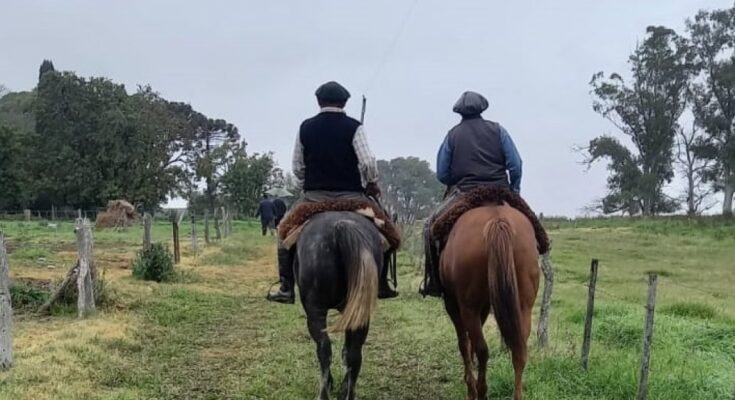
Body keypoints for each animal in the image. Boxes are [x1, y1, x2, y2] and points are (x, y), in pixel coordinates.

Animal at [440, 205, 544, 398]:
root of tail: (498, 220)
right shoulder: (483, 307)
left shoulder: (454, 305)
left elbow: (464, 343)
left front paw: (469, 383)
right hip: (523, 307)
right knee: (519, 351)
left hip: (468, 307)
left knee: (482, 350)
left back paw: (479, 391)